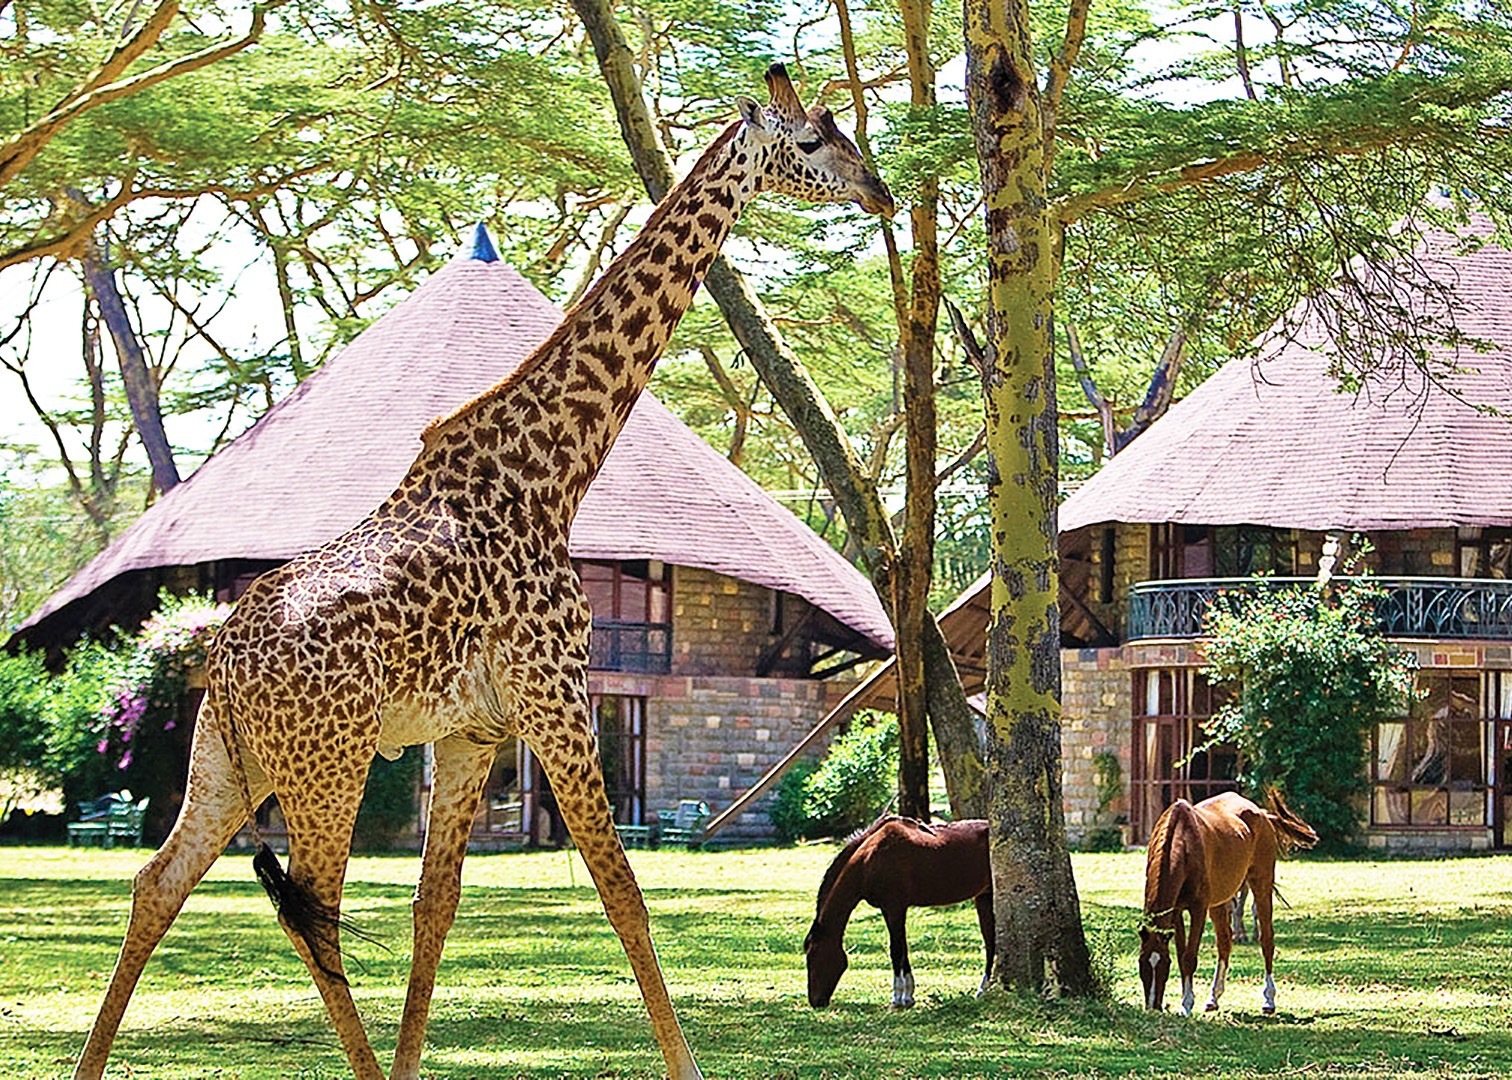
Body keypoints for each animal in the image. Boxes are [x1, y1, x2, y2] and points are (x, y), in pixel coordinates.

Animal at [76, 65, 889, 1076]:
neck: (552, 474)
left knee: (157, 885)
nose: (879, 190)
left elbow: (437, 908)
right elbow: (623, 894)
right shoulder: (554, 694)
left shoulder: (473, 731)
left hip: (225, 761)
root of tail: (221, 665)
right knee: (313, 910)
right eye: (813, 141)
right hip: (326, 764)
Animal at [804, 810, 991, 1004]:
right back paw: (982, 990)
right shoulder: (892, 910)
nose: (815, 1002)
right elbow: (903, 949)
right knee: (990, 941)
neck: (869, 859)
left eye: (813, 956)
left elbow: (896, 950)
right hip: (984, 897)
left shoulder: (894, 908)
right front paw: (908, 995)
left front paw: (897, 997)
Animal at [1137, 792, 1318, 1010]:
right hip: (1219, 902)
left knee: (1267, 940)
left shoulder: (1198, 908)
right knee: (1224, 942)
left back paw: (1269, 999)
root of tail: (1262, 814)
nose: (1152, 1006)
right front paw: (1185, 1000)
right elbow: (1182, 955)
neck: (1183, 839)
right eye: (1141, 963)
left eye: (1163, 963)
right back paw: (1214, 997)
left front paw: (1187, 1005)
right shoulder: (1177, 910)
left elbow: (1189, 957)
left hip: (1261, 885)